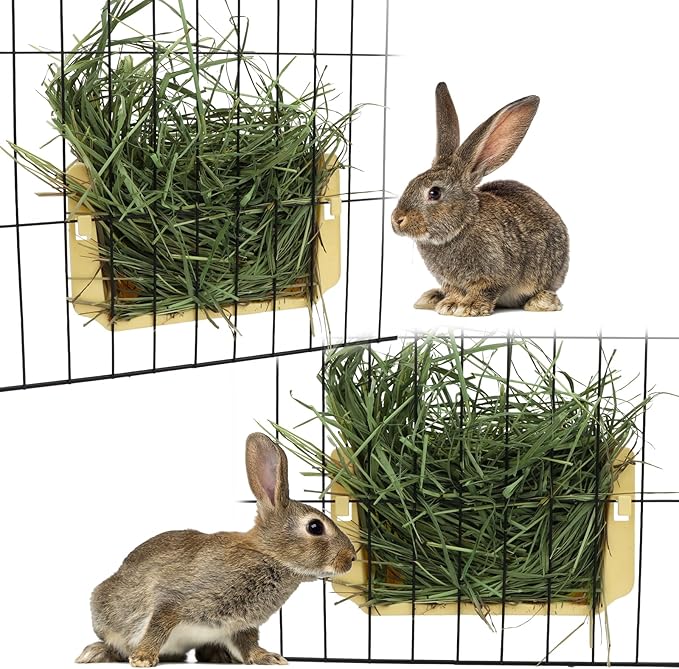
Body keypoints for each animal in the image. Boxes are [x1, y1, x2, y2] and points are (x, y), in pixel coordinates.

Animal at [75, 432, 356, 667]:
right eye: (314, 527)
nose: (351, 557)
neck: (267, 555)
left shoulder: (240, 626)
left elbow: (248, 644)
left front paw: (268, 657)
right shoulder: (173, 600)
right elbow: (158, 626)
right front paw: (143, 658)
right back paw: (94, 653)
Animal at [391, 82, 569, 317]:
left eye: (434, 193)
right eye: (411, 182)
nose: (396, 220)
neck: (462, 226)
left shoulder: (495, 272)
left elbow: (485, 289)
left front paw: (469, 307)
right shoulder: (450, 281)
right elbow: (454, 291)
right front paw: (448, 304)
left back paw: (541, 302)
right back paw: (431, 297)